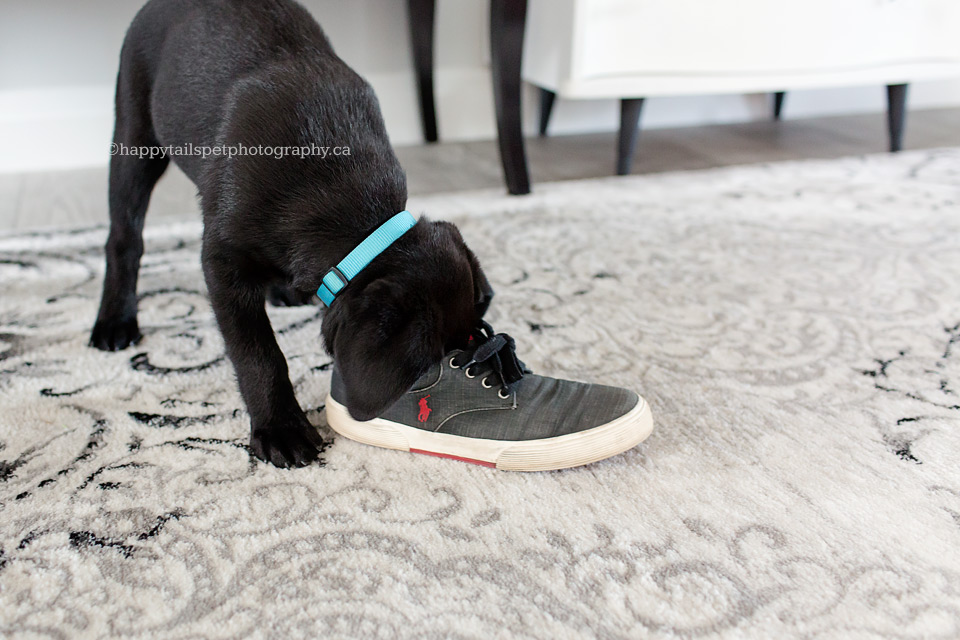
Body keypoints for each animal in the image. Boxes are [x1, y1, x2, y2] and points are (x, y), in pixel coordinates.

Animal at [89, 1, 492, 470]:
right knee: (124, 236)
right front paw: (280, 427)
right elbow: (258, 352)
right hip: (135, 135)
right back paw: (115, 320)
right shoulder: (222, 263)